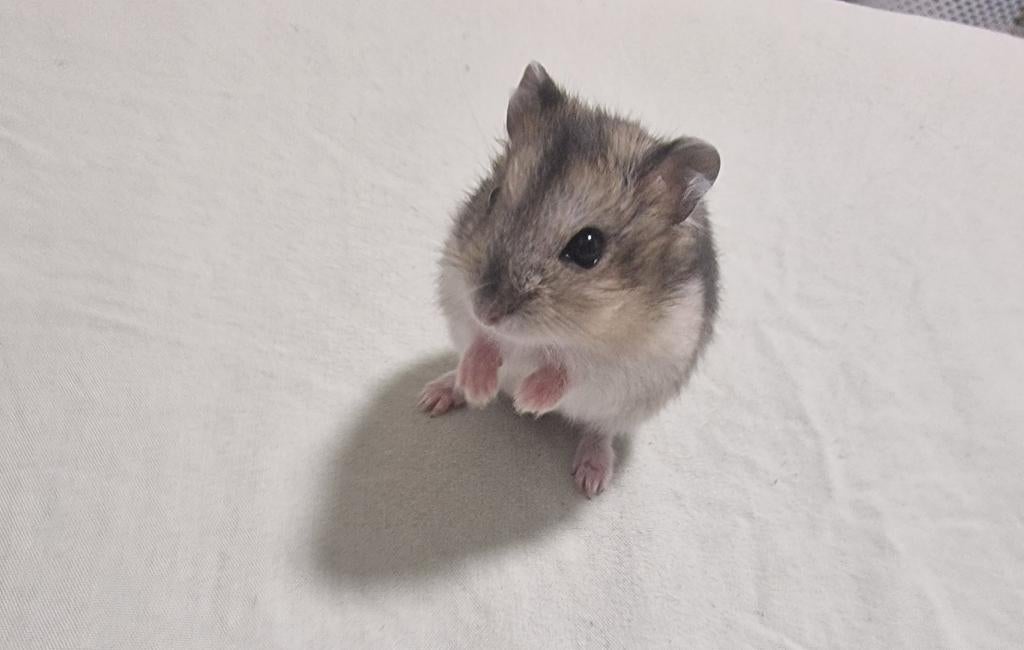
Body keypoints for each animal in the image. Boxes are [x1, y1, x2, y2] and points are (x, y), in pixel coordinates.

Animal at [418, 62, 720, 497]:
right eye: (492, 198)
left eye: (588, 247)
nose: (487, 310)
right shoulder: (459, 297)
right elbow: (482, 342)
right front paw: (480, 387)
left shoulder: (629, 364)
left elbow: (570, 369)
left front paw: (527, 401)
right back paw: (436, 395)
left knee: (599, 431)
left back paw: (591, 479)